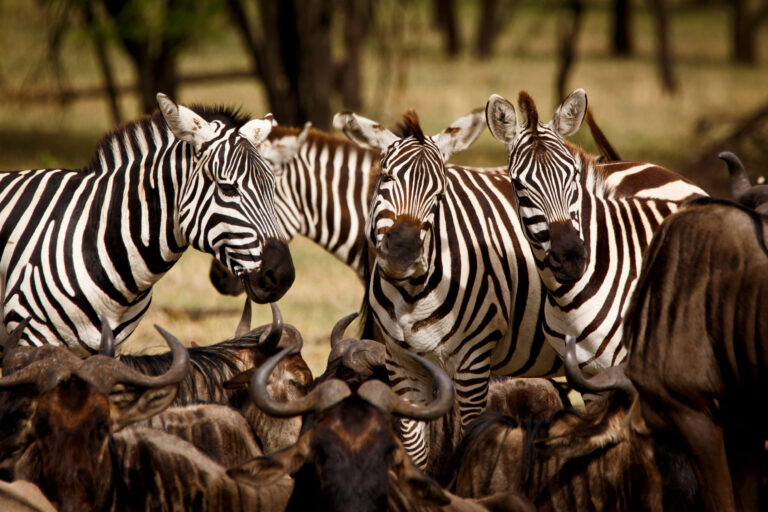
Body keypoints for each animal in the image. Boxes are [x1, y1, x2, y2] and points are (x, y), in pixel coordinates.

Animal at [333, 108, 562, 470]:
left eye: (439, 194)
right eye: (385, 178)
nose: (402, 253)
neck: (412, 299)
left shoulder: (474, 367)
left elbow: (472, 441)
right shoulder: (403, 366)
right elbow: (414, 448)